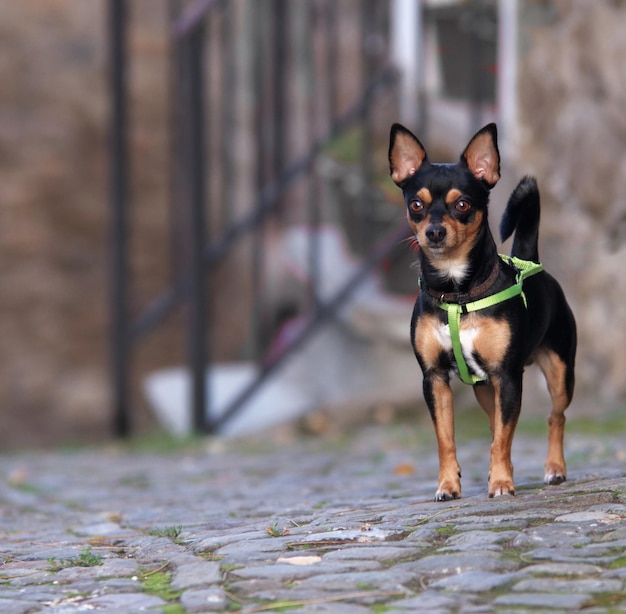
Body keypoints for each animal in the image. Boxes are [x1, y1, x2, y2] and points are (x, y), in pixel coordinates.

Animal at [386, 122, 576, 502]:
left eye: (463, 204)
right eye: (416, 204)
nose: (434, 231)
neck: (458, 291)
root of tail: (530, 261)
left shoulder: (508, 377)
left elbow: (503, 438)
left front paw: (501, 484)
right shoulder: (435, 380)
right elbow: (447, 439)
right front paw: (448, 485)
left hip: (560, 373)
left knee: (555, 417)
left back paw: (554, 469)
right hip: (484, 389)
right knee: (495, 425)